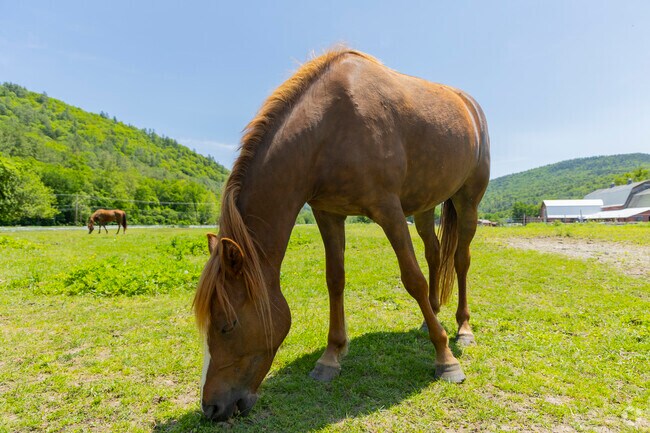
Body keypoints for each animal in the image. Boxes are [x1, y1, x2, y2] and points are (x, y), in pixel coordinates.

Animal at [193, 48, 490, 422]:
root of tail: (469, 105)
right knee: (435, 253)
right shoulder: (329, 213)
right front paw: (331, 356)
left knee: (461, 260)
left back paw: (462, 330)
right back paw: (430, 318)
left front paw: (445, 359)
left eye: (227, 325)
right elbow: (335, 279)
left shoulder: (389, 210)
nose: (211, 408)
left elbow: (413, 280)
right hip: (425, 205)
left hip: (468, 201)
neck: (326, 130)